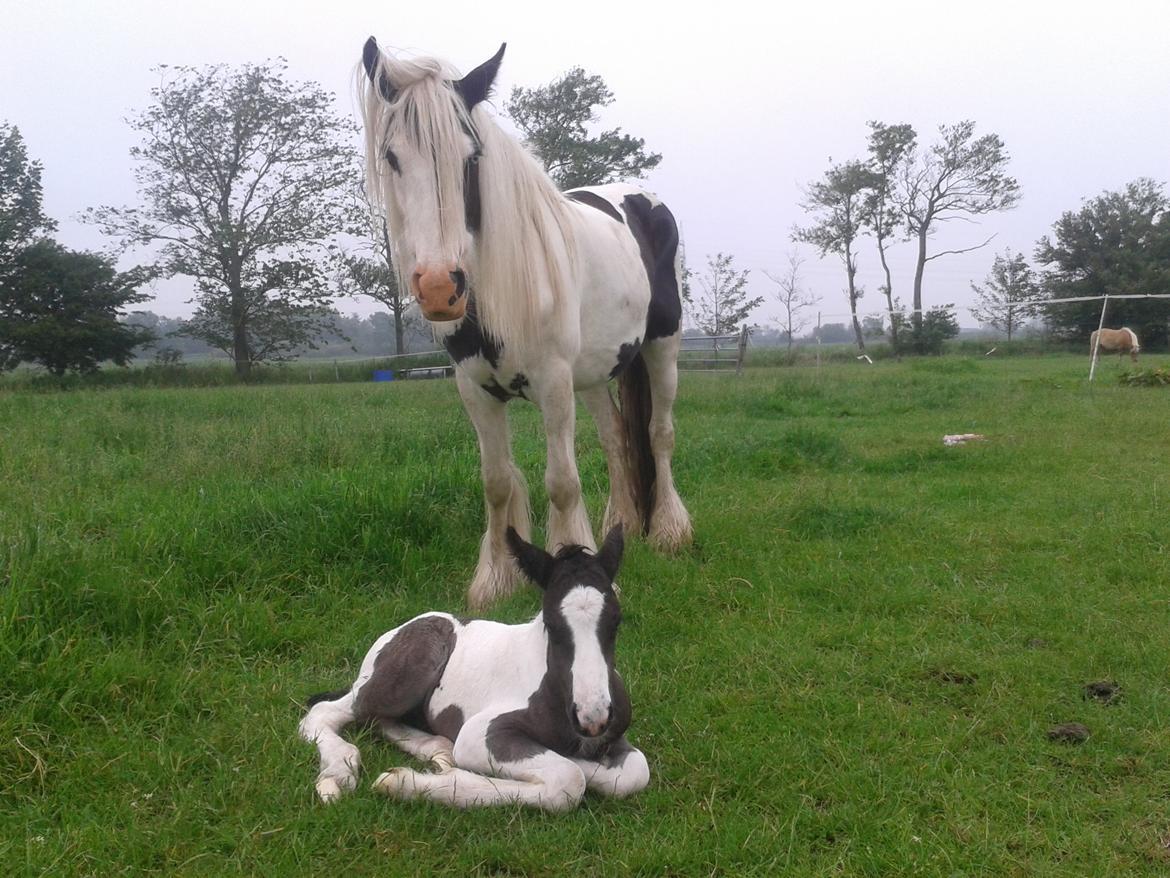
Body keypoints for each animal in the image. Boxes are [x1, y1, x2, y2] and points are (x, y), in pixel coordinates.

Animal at [297, 526, 650, 814]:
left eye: (616, 621)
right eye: (550, 623)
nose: (593, 719)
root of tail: (403, 626)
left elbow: (634, 772)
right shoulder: (477, 735)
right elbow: (567, 780)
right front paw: (402, 783)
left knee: (377, 721)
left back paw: (438, 751)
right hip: (396, 684)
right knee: (327, 711)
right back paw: (337, 775)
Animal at [360, 37, 687, 608]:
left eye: (471, 158)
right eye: (392, 157)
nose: (441, 288)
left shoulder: (553, 384)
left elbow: (562, 482)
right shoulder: (475, 389)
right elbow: (496, 482)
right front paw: (495, 580)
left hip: (661, 348)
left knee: (659, 432)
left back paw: (669, 530)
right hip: (596, 373)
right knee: (618, 439)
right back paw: (624, 524)